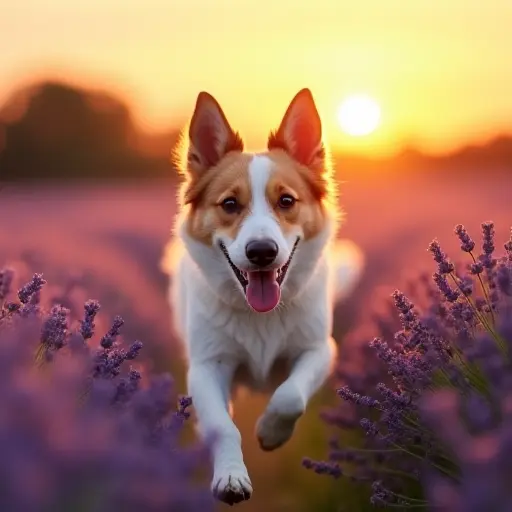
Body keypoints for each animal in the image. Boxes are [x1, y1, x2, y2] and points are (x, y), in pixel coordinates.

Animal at [162, 88, 362, 504]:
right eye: (229, 204)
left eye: (286, 201)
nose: (261, 252)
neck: (260, 315)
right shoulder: (207, 364)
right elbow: (223, 426)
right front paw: (231, 477)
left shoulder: (320, 349)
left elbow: (289, 397)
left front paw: (270, 432)